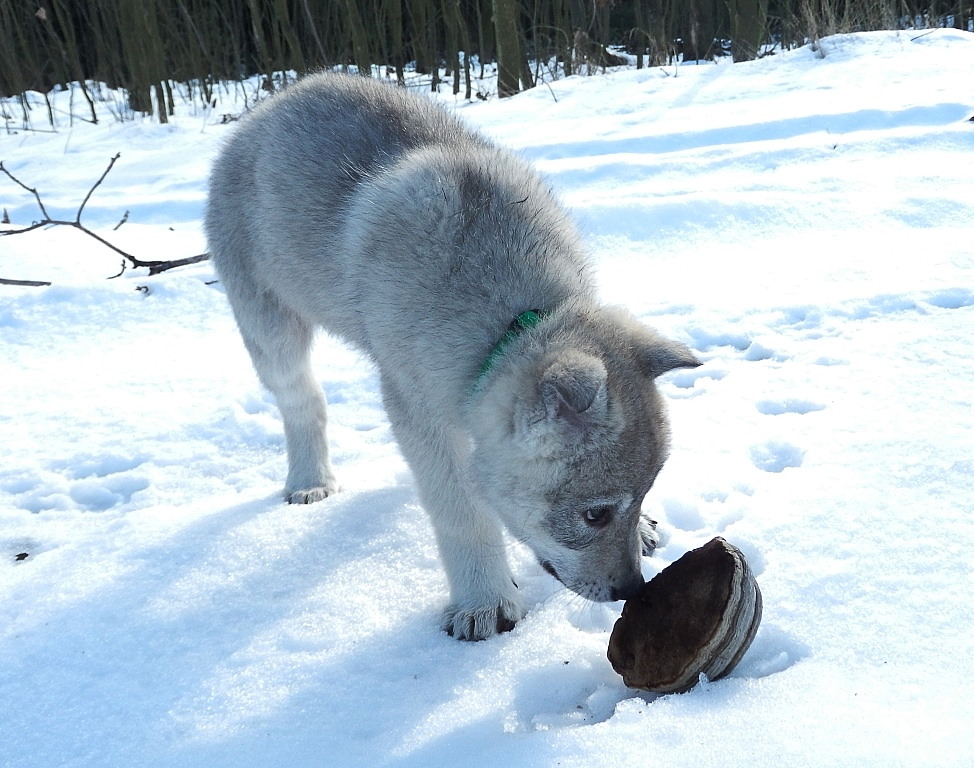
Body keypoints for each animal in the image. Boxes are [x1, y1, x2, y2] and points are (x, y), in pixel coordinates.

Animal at [206, 72, 700, 640]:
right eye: (594, 515)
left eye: (640, 497)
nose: (631, 591)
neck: (514, 319)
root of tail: (275, 103)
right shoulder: (419, 406)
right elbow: (462, 512)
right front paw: (484, 602)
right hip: (270, 327)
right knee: (302, 401)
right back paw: (310, 480)